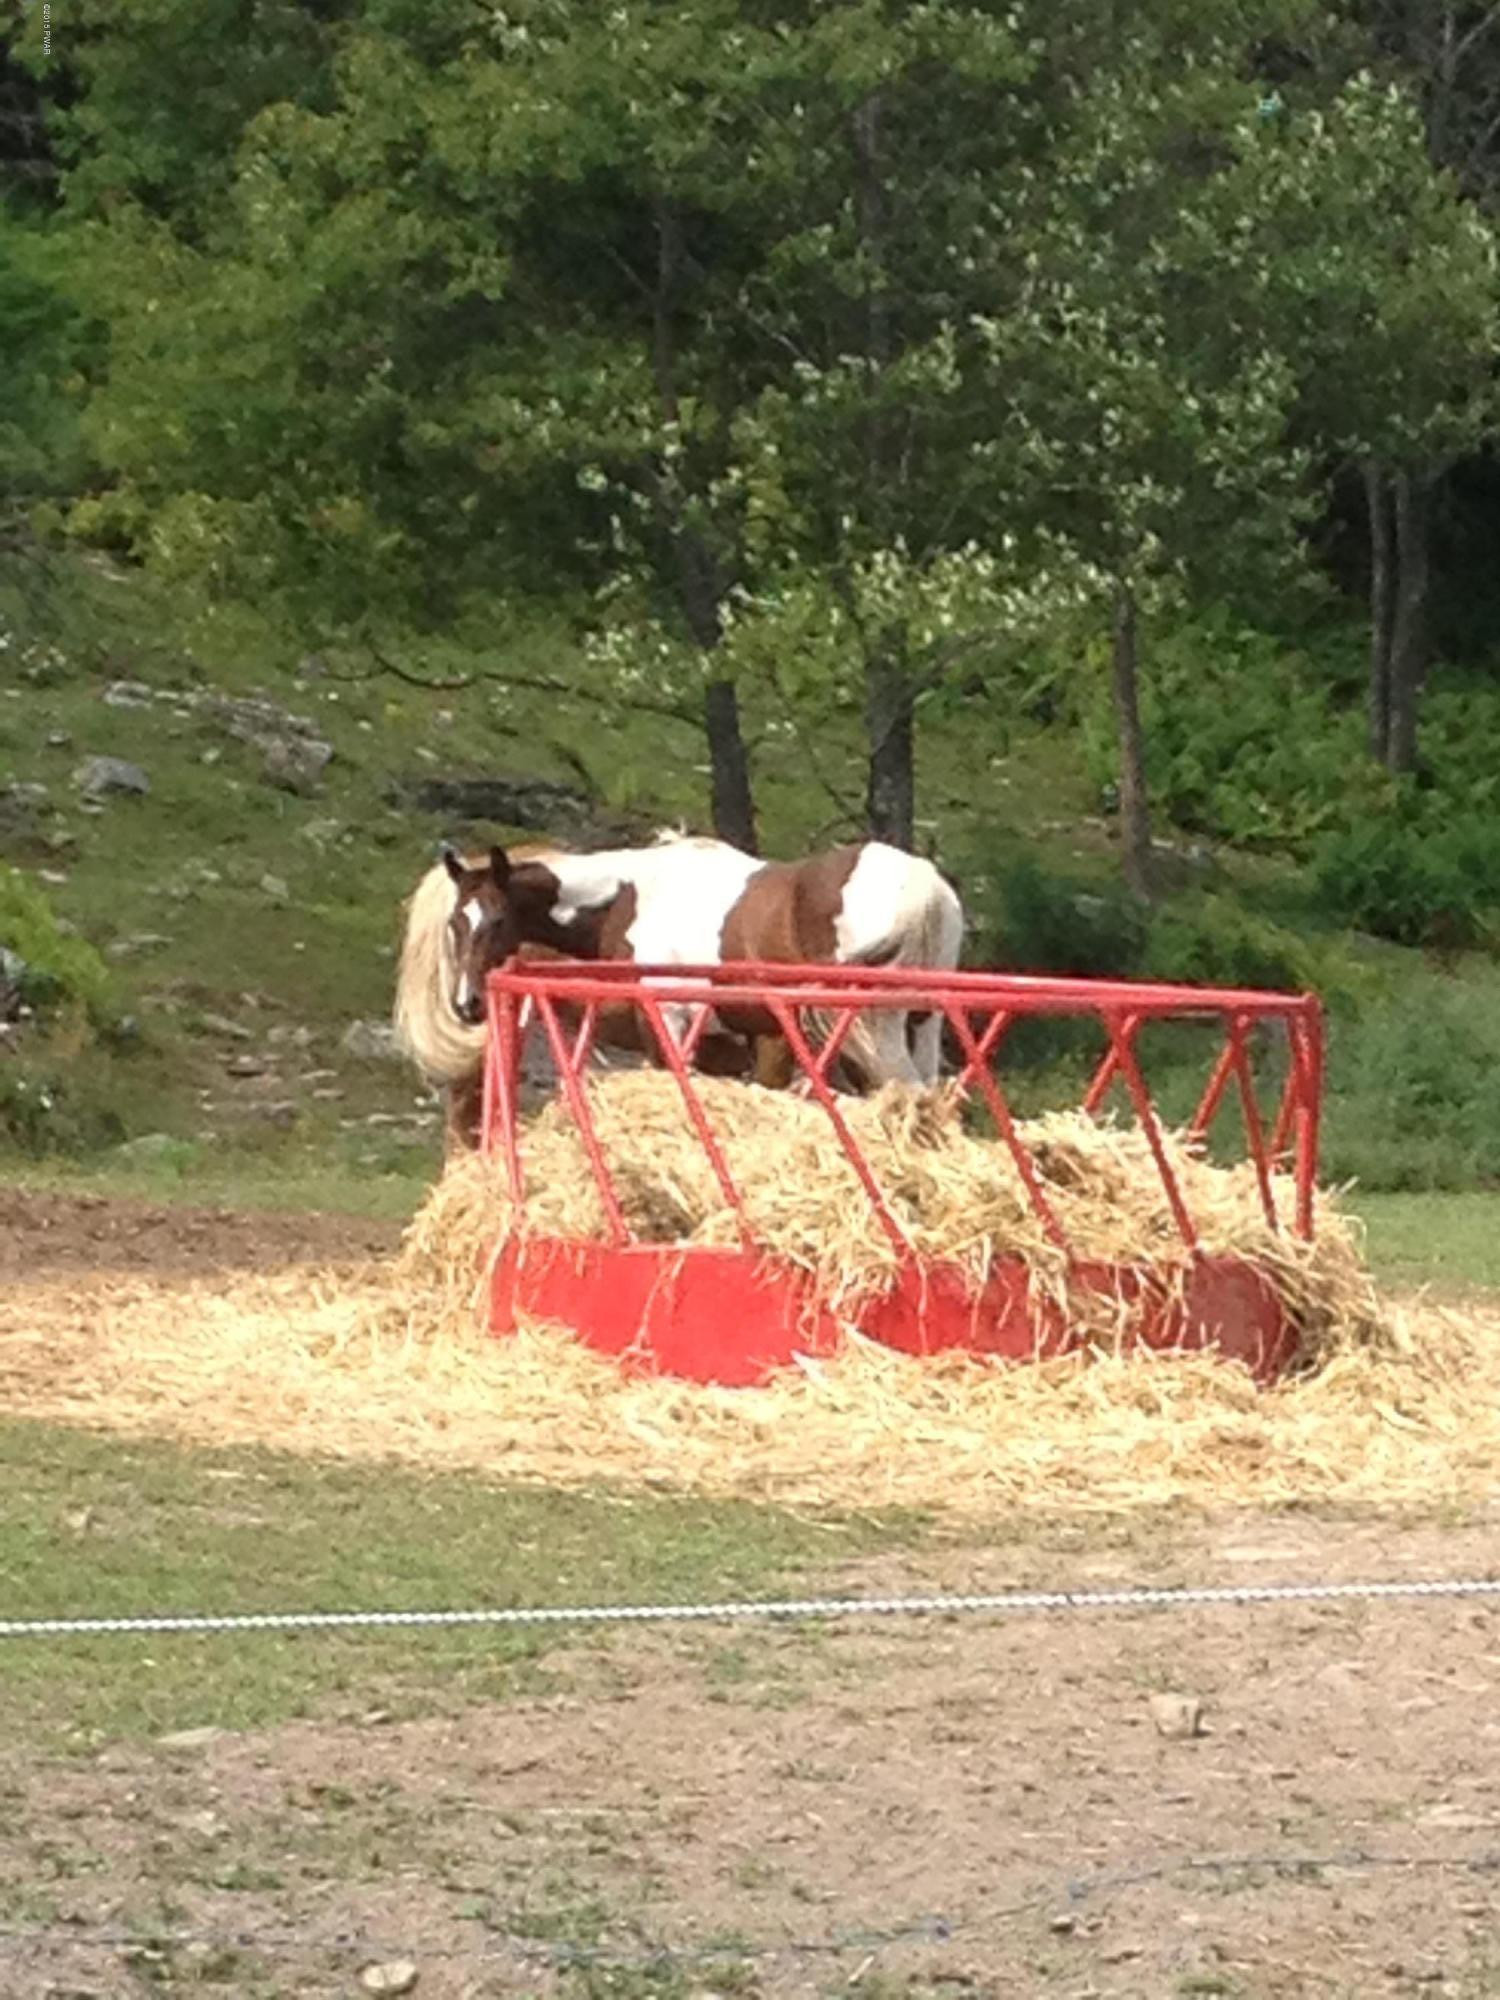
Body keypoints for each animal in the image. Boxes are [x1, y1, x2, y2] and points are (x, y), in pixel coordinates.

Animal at [394, 831, 964, 1149]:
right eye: (456, 923)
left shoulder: (667, 1021)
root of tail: (924, 885)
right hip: (924, 1025)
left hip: (876, 1033)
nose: (467, 1003)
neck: (629, 896)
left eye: (496, 919)